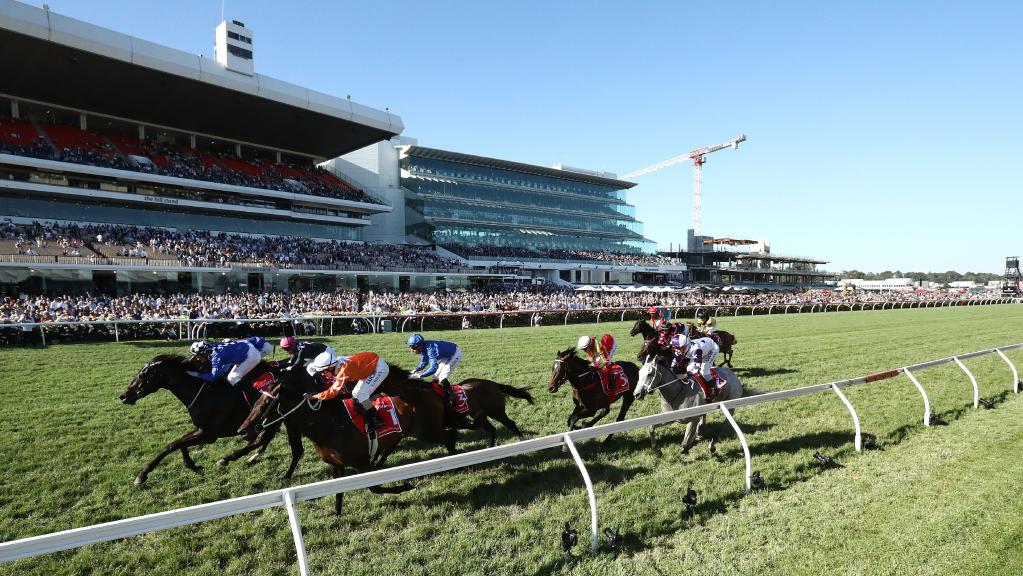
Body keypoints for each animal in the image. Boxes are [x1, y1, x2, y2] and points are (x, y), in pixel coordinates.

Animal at [117, 356, 302, 486]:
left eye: (142, 375)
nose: (123, 395)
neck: (203, 391)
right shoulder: (200, 429)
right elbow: (180, 443)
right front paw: (195, 467)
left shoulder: (209, 434)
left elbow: (172, 445)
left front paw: (142, 475)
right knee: (264, 439)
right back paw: (248, 457)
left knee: (277, 443)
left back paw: (230, 459)